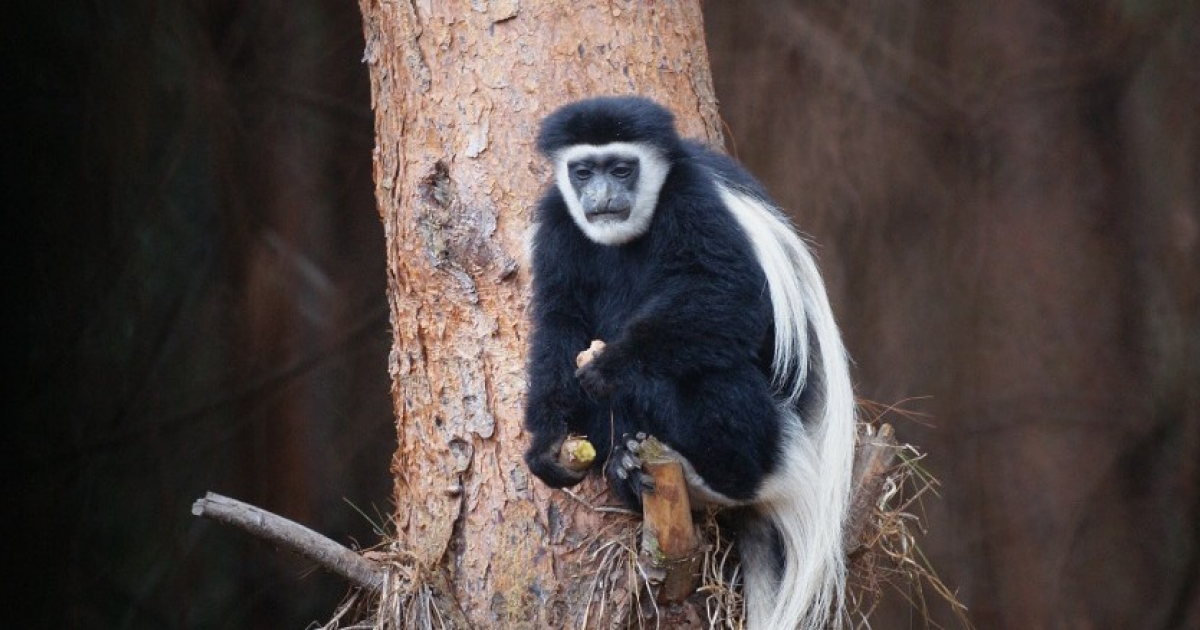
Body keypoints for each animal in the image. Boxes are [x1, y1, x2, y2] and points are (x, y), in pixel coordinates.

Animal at [523, 97, 854, 628]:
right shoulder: (558, 224)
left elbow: (730, 295)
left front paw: (613, 364)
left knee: (718, 373)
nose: (602, 196)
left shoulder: (694, 202)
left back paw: (712, 479)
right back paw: (625, 470)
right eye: (583, 171)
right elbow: (560, 322)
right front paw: (547, 444)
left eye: (622, 169)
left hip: (770, 435)